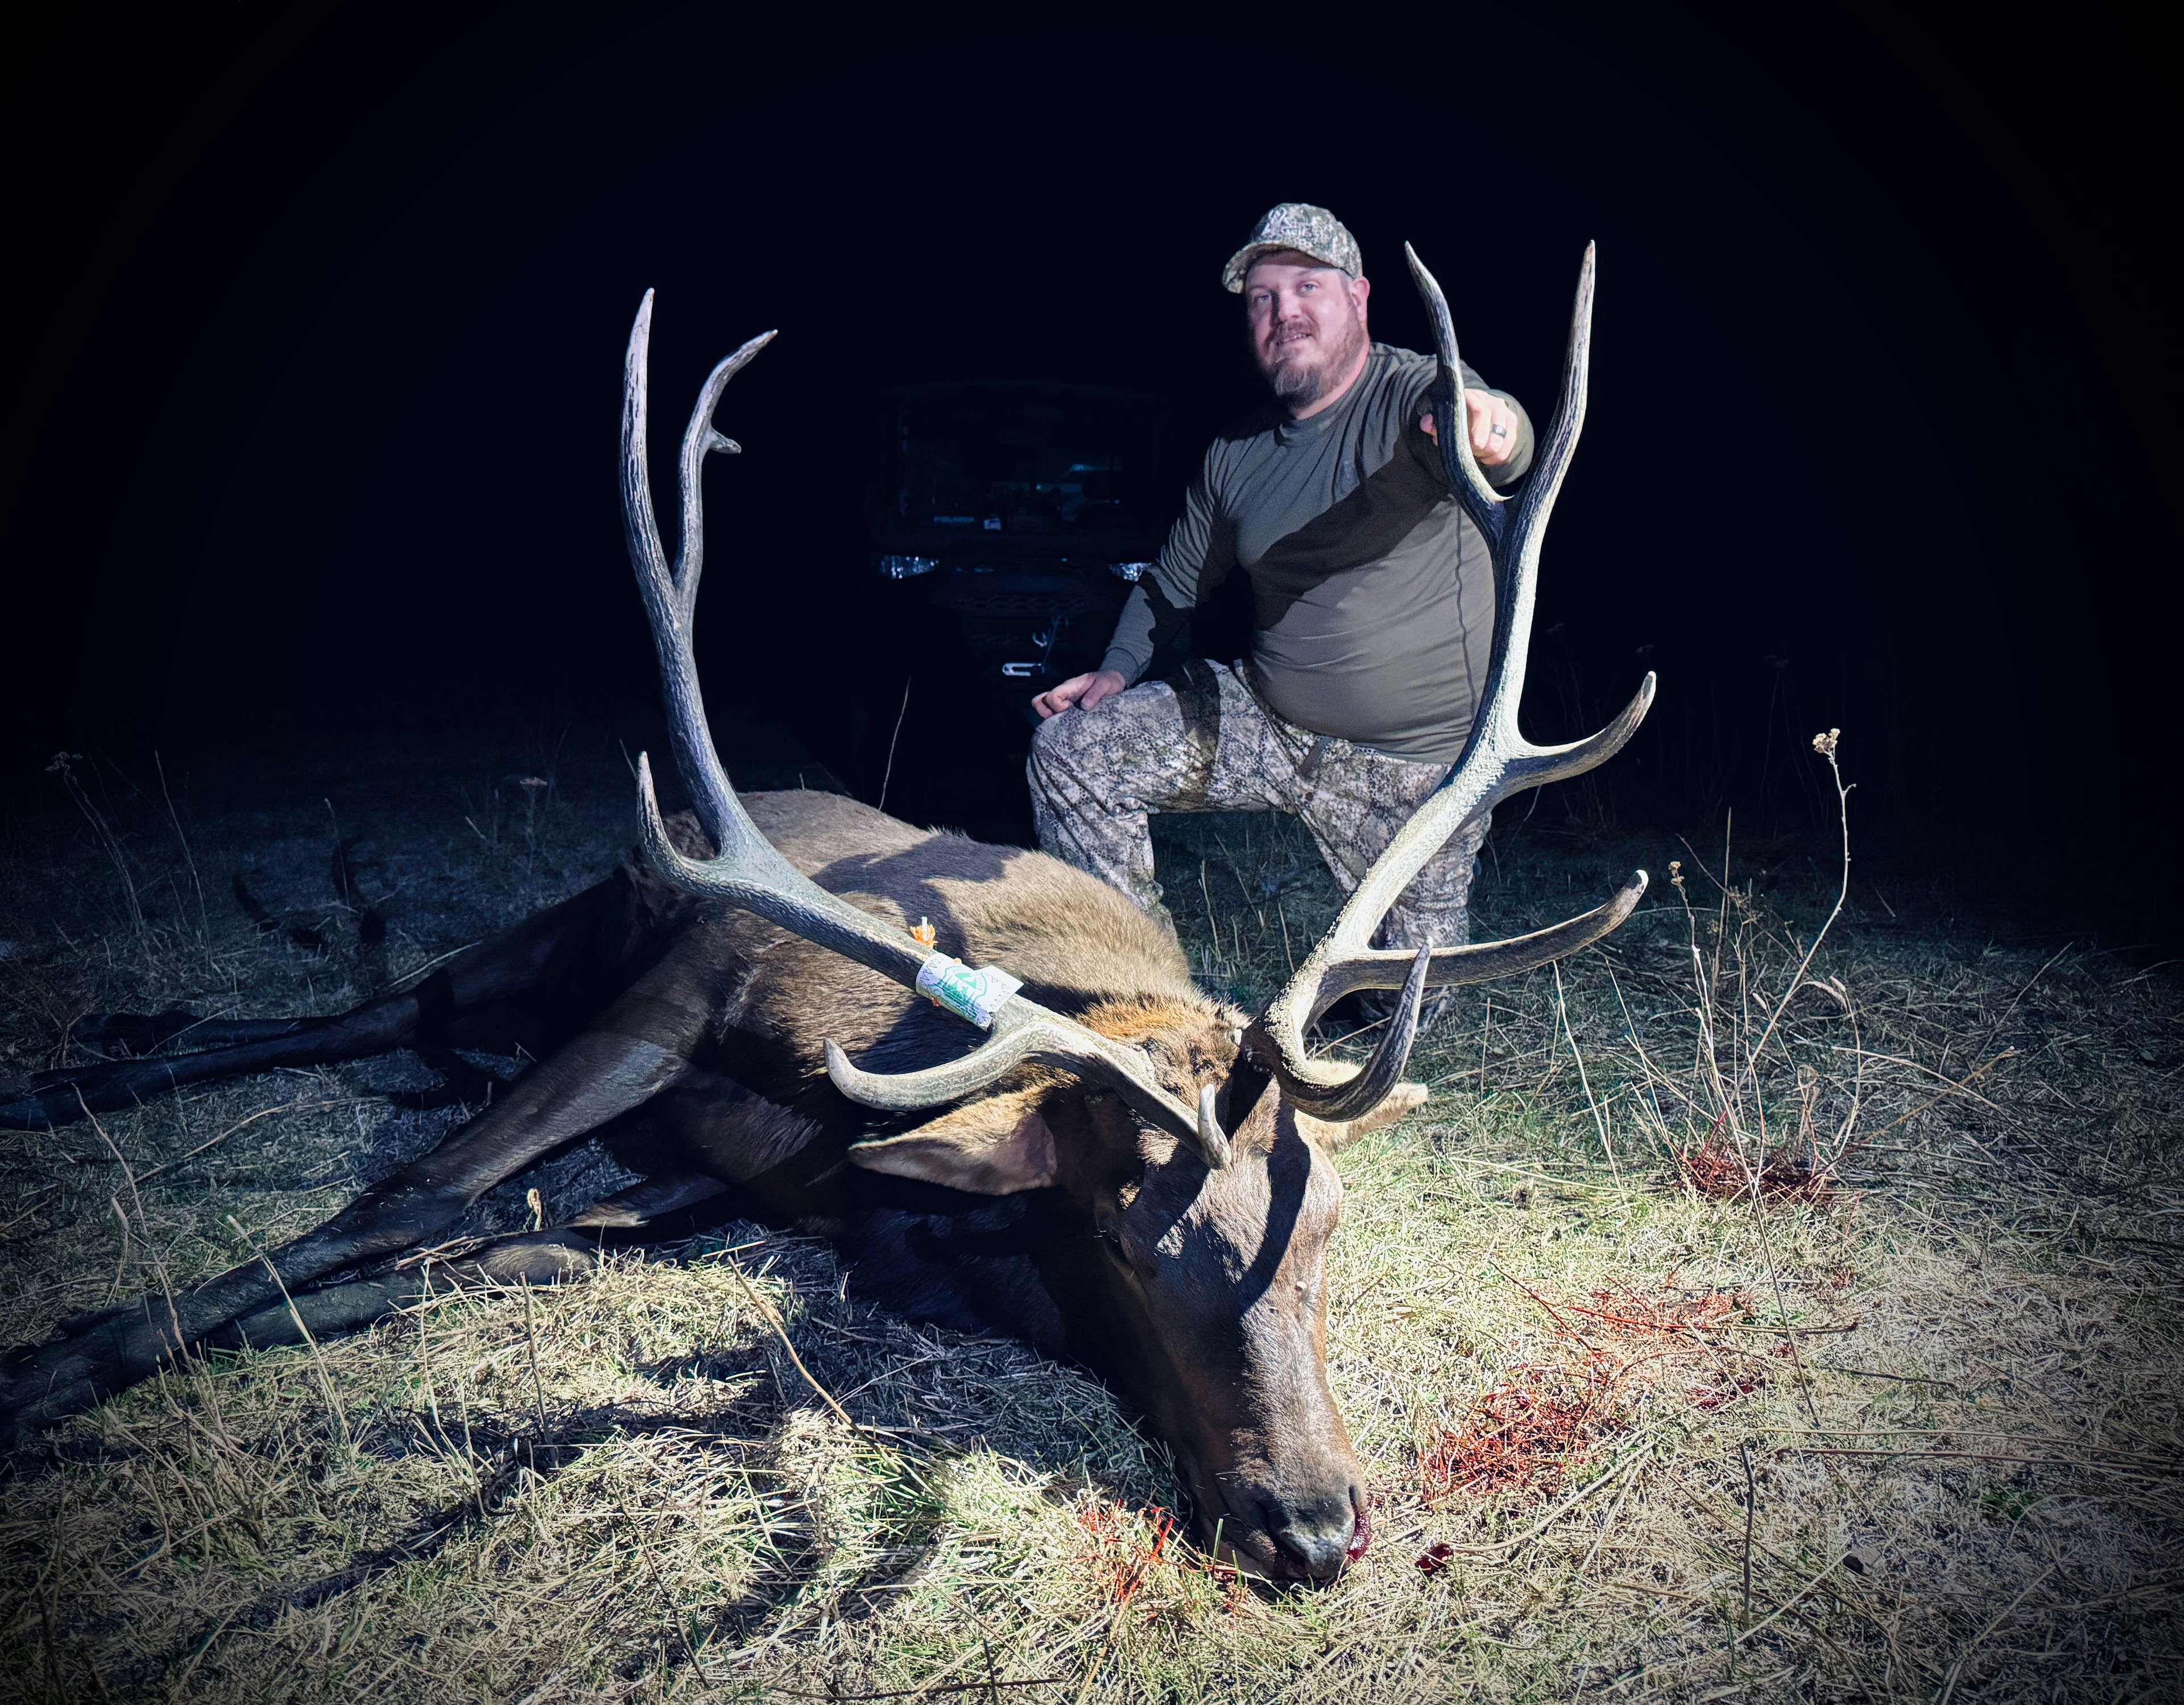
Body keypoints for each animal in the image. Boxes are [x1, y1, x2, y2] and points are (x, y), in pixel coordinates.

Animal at [0, 245, 1652, 1585]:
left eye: (1329, 1232)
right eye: (1119, 1238)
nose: (1309, 1526)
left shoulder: (715, 1186)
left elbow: (490, 1248)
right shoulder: (677, 1001)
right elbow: (400, 1204)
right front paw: (64, 1360)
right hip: (552, 942)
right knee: (367, 1010)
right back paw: (83, 1068)